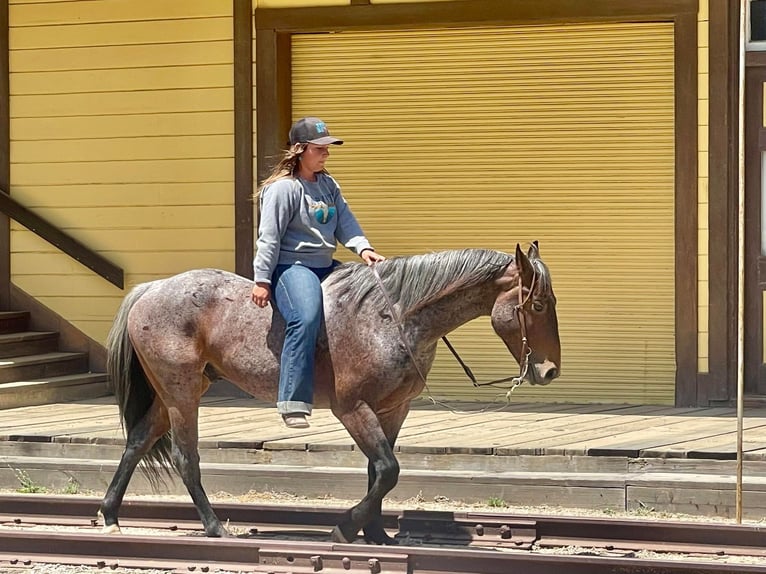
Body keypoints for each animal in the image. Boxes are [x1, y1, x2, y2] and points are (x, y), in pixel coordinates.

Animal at [99, 242, 560, 544]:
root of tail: (150, 289)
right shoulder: (352, 408)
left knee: (137, 442)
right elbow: (388, 469)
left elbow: (379, 471)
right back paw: (214, 527)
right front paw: (346, 527)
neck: (392, 317)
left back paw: (110, 515)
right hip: (182, 392)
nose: (550, 370)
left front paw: (377, 534)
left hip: (173, 392)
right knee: (184, 456)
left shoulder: (393, 409)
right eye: (537, 306)